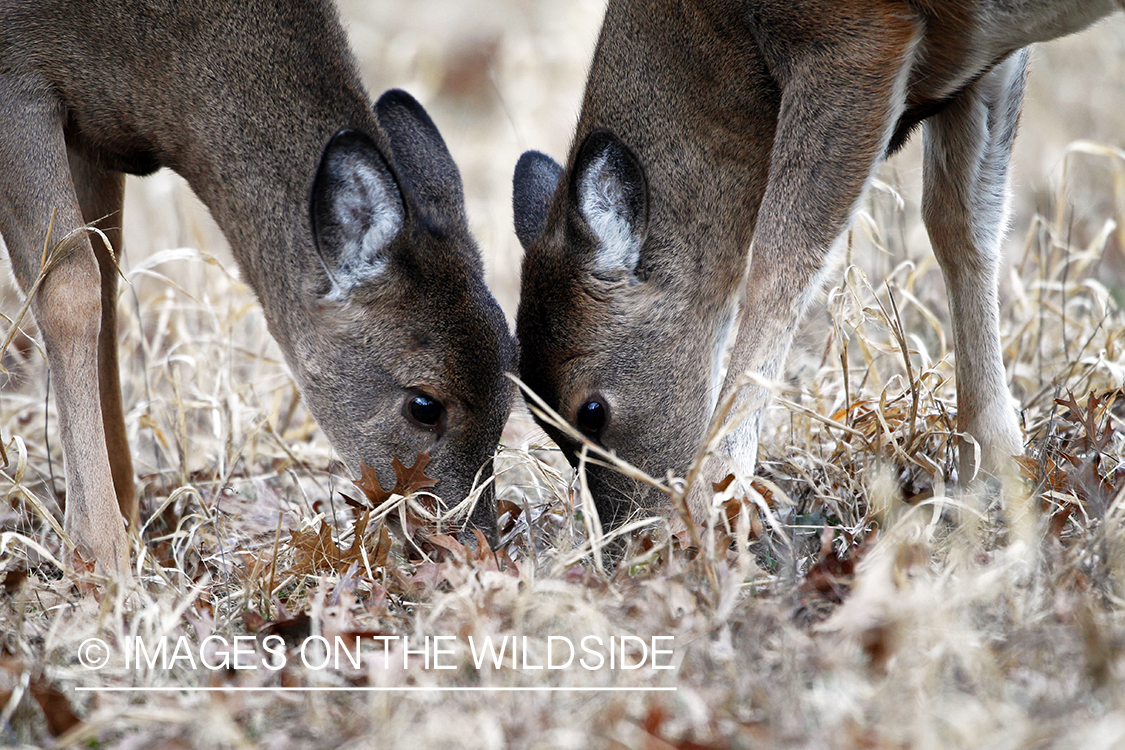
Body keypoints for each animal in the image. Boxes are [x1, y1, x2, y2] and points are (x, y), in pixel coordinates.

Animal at [0, 0, 515, 575]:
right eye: (424, 405)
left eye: (511, 396)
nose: (474, 548)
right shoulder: (17, 82)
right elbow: (72, 290)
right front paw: (100, 557)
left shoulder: (92, 135)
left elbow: (107, 284)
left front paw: (129, 520)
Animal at [515, 0, 1120, 530]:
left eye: (591, 411)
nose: (630, 536)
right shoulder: (982, 62)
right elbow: (961, 222)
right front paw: (997, 469)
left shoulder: (856, 36)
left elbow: (780, 260)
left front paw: (719, 502)